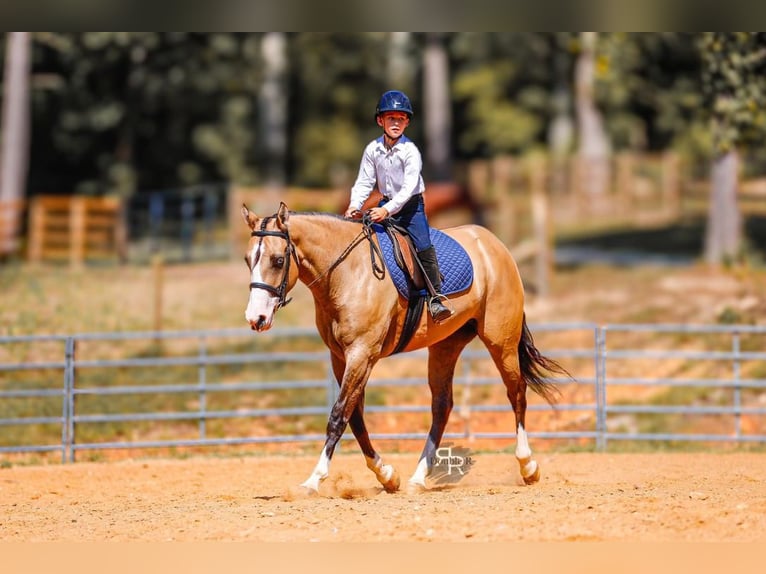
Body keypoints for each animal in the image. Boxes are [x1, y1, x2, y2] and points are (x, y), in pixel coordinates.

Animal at [241, 202, 565, 494]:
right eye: (248, 260)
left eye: (278, 260)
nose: (256, 319)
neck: (346, 273)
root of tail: (494, 244)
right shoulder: (341, 357)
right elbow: (355, 417)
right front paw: (387, 475)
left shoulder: (362, 354)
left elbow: (338, 416)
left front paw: (313, 480)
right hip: (445, 346)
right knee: (442, 406)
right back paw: (418, 478)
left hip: (502, 341)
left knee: (517, 393)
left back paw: (528, 466)